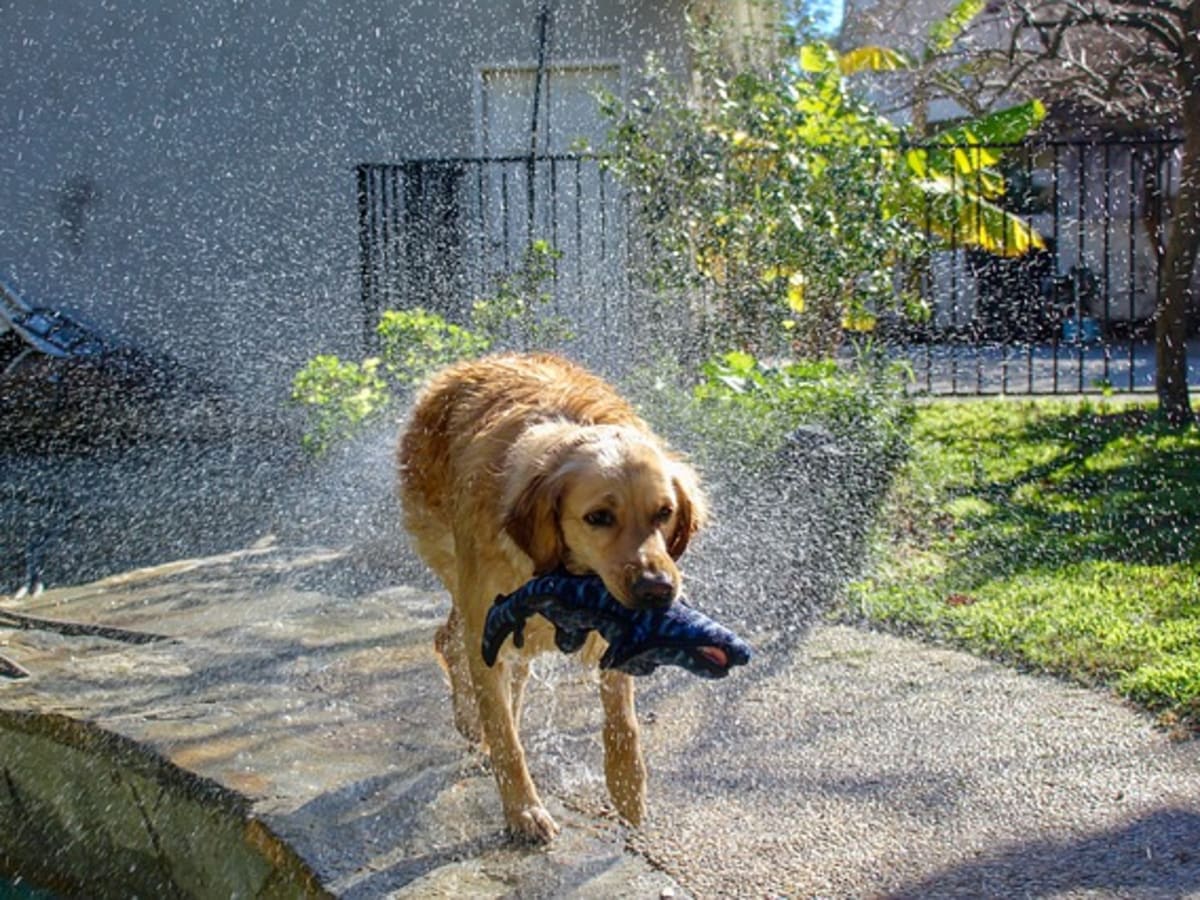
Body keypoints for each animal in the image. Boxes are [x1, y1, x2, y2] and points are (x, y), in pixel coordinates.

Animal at [398, 352, 705, 844]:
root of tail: (461, 367)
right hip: (454, 564)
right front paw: (523, 811)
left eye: (664, 512)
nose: (658, 590)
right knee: (452, 642)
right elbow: (505, 737)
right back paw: (470, 718)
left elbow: (622, 720)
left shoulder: (612, 628)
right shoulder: (487, 623)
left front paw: (628, 790)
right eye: (598, 517)